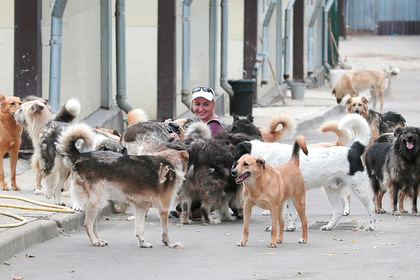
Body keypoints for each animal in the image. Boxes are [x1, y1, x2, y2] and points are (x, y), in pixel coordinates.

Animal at [56, 122, 188, 247]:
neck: (170, 162)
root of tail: (81, 157)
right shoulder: (164, 209)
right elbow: (165, 230)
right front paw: (169, 243)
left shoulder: (140, 207)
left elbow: (139, 228)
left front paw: (142, 243)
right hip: (96, 202)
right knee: (87, 224)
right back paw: (95, 242)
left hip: (99, 204)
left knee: (93, 225)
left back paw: (99, 240)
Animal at [233, 114, 378, 232]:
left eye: (241, 161)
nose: (233, 172)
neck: (264, 156)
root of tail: (353, 149)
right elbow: (287, 213)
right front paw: (287, 227)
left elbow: (289, 213)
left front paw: (289, 227)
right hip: (331, 190)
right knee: (338, 210)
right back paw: (329, 226)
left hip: (359, 188)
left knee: (370, 207)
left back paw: (371, 226)